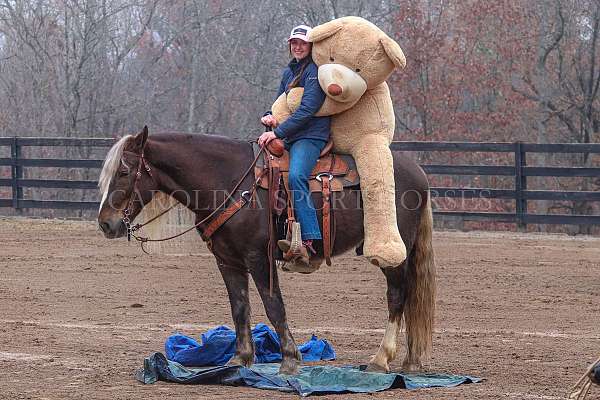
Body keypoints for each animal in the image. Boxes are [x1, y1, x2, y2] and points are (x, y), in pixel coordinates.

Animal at [98, 127, 436, 376]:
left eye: (124, 171)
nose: (105, 223)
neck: (231, 181)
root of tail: (419, 172)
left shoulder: (258, 258)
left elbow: (274, 306)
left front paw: (289, 358)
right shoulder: (228, 262)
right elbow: (240, 308)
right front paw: (241, 360)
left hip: (394, 253)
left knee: (397, 296)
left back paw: (381, 359)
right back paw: (410, 361)